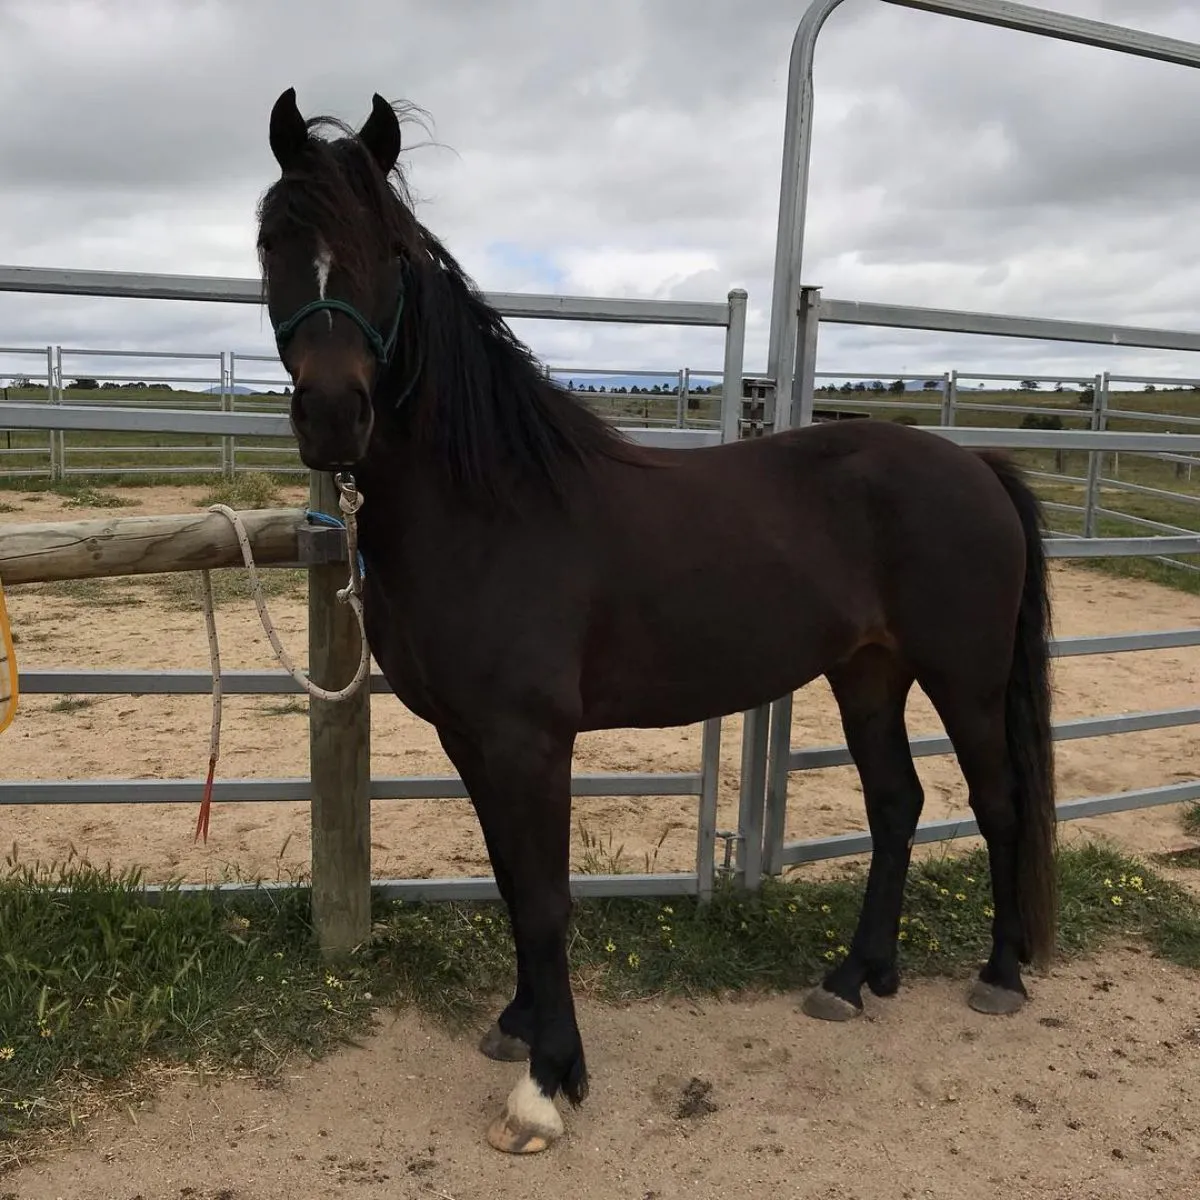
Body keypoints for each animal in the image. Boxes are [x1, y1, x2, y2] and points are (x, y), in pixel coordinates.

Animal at [254, 87, 1058, 1155]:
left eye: (387, 247)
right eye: (272, 242)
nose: (334, 416)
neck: (492, 505)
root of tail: (977, 467)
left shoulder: (529, 740)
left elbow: (545, 899)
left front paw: (549, 1083)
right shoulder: (473, 739)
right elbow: (509, 880)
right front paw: (520, 1028)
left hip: (962, 675)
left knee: (997, 801)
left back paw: (999, 975)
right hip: (868, 672)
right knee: (897, 805)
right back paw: (856, 978)